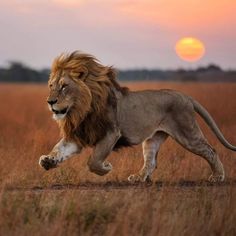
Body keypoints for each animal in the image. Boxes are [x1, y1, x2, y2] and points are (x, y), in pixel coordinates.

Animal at [38, 50, 236, 183]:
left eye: (64, 86)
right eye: (51, 86)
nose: (50, 101)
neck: (80, 111)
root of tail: (185, 95)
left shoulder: (111, 133)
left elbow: (93, 160)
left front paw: (106, 168)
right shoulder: (77, 136)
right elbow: (59, 149)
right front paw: (48, 161)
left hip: (187, 133)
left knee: (211, 150)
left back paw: (218, 176)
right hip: (153, 139)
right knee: (151, 161)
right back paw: (138, 178)